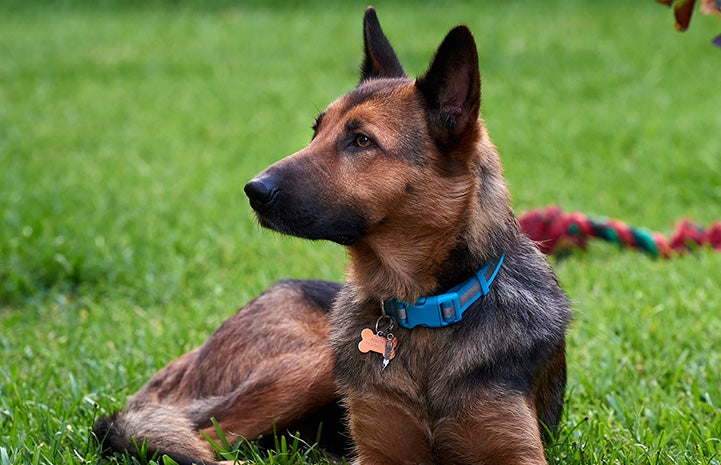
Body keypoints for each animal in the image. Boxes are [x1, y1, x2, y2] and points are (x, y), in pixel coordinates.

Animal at [95, 8, 572, 464]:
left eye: (361, 141)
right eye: (315, 131)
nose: (253, 191)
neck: (424, 311)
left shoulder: (517, 450)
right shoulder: (378, 452)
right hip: (312, 363)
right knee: (197, 439)